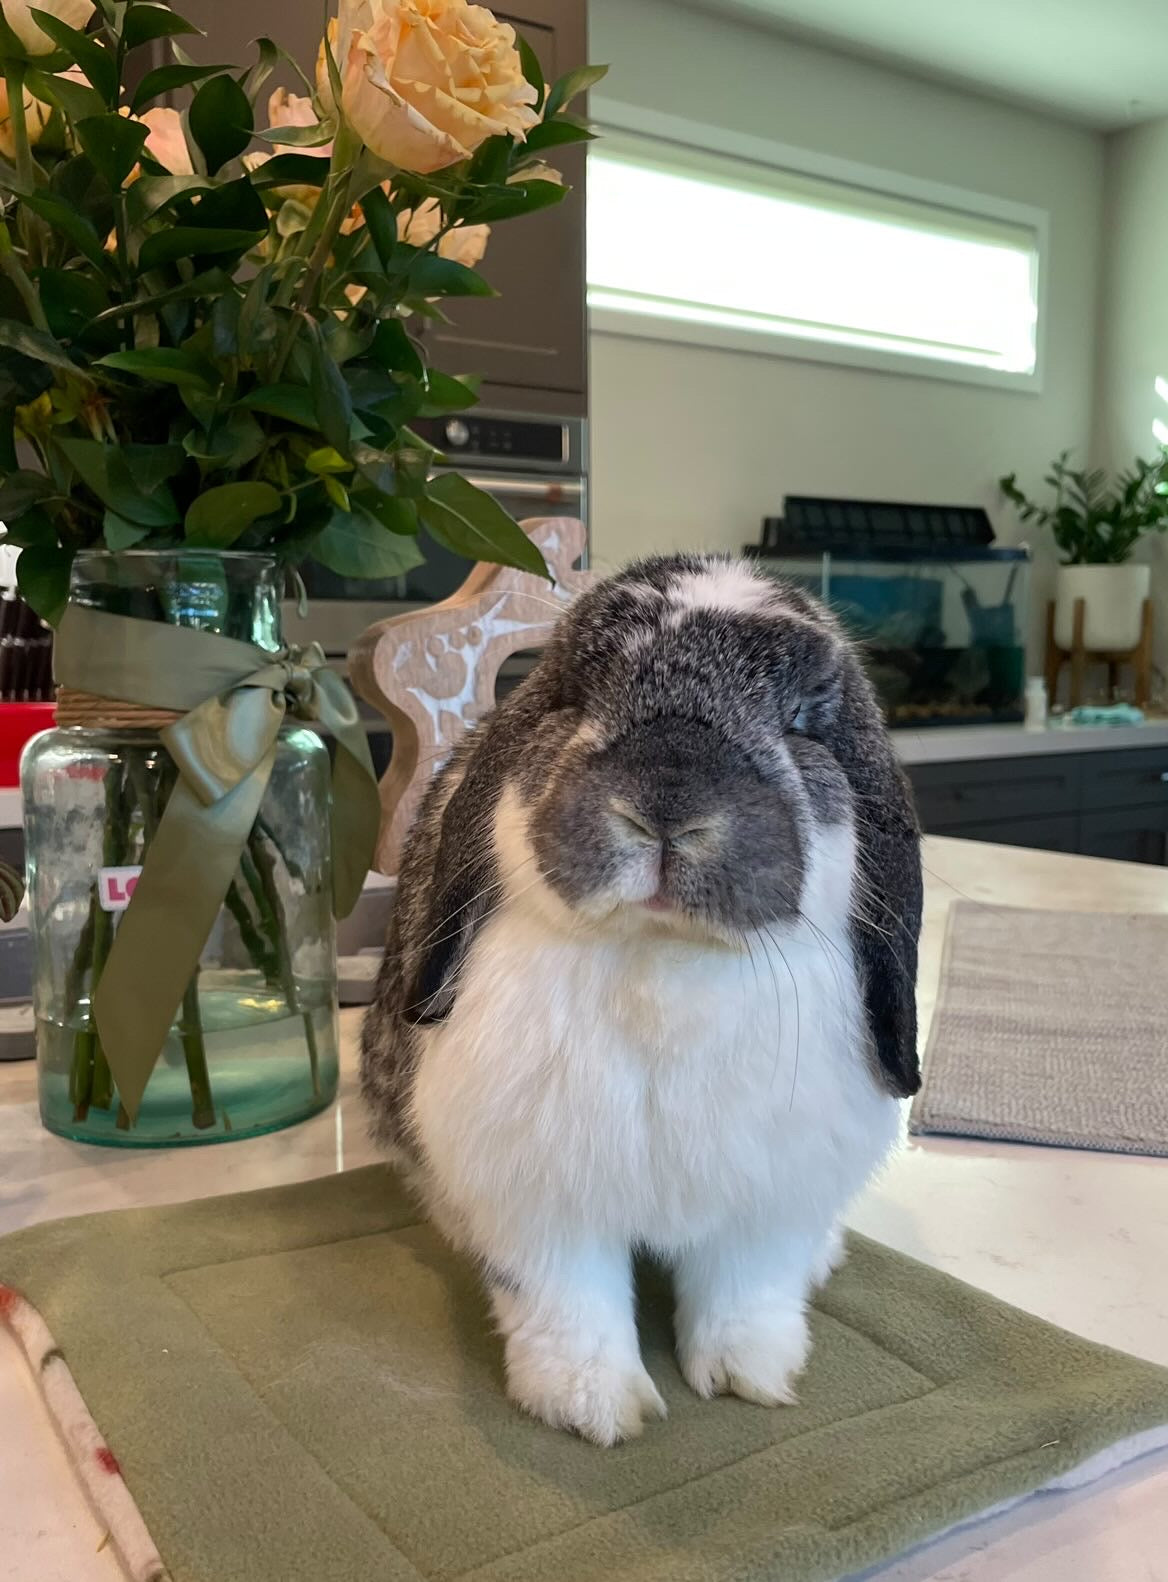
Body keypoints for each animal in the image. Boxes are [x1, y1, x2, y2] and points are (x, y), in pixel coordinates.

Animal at [361, 553, 922, 1446]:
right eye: (576, 697)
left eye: (803, 722)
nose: (667, 805)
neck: (662, 958)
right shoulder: (541, 1204)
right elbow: (568, 1305)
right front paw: (593, 1407)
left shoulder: (765, 1205)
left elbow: (746, 1294)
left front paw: (749, 1377)